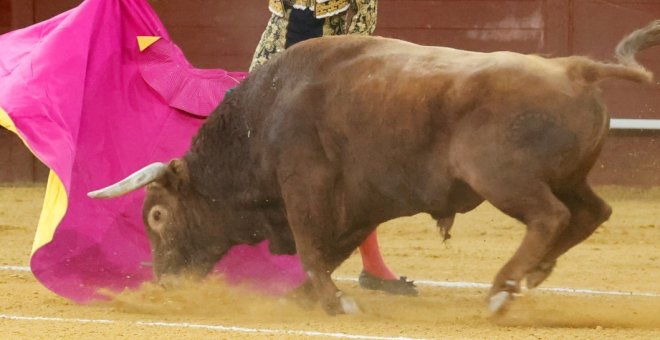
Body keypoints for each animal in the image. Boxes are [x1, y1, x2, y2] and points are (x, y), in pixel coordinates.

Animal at [89, 19, 660, 314]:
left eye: (157, 215)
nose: (165, 281)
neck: (264, 116)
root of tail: (576, 68)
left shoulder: (304, 185)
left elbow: (312, 246)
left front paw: (331, 301)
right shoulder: (359, 202)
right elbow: (332, 249)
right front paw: (305, 297)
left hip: (505, 178)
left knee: (550, 217)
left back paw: (501, 290)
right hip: (569, 177)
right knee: (592, 212)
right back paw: (531, 275)